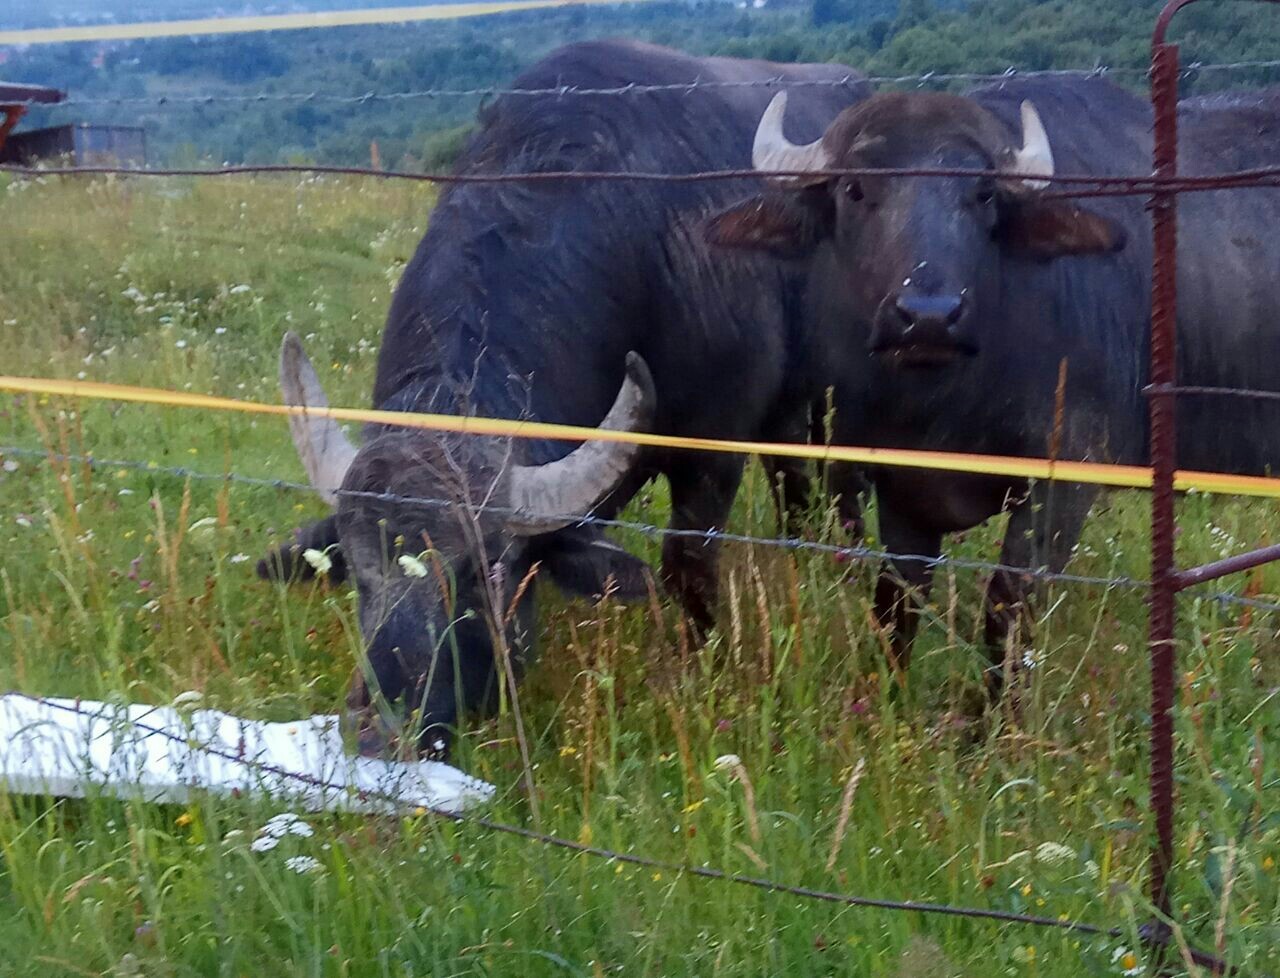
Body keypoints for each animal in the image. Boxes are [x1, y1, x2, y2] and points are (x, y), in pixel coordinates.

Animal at [711, 76, 1280, 686]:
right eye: (855, 189)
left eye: (983, 194)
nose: (929, 316)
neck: (944, 401)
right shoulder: (898, 485)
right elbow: (896, 606)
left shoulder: (1064, 480)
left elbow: (1007, 612)